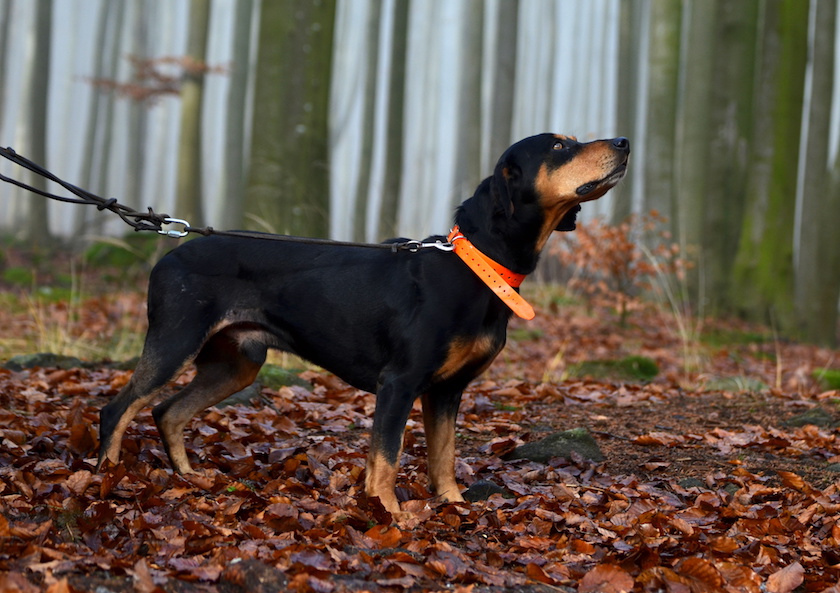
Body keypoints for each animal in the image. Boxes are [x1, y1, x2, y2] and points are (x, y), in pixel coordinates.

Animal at [95, 133, 628, 512]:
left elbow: (443, 457)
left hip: (237, 363)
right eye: (559, 146)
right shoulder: (399, 382)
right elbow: (386, 458)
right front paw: (388, 512)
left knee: (167, 412)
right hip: (176, 339)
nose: (624, 142)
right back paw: (106, 479)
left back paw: (190, 478)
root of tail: (169, 254)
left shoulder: (447, 390)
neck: (479, 263)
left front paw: (453, 506)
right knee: (117, 408)